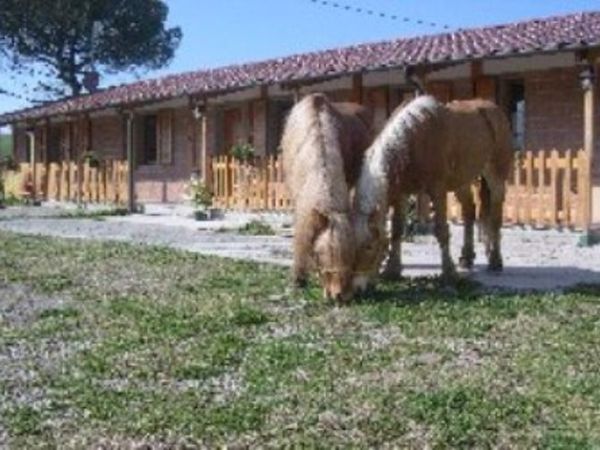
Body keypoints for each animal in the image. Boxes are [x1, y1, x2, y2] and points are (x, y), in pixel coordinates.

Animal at [354, 96, 512, 292]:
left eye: (368, 247)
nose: (357, 289)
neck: (415, 138)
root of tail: (493, 108)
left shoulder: (438, 191)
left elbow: (441, 230)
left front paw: (448, 273)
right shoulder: (401, 194)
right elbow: (397, 229)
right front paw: (392, 270)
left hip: (495, 175)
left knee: (496, 214)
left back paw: (495, 260)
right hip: (462, 180)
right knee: (469, 211)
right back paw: (466, 257)